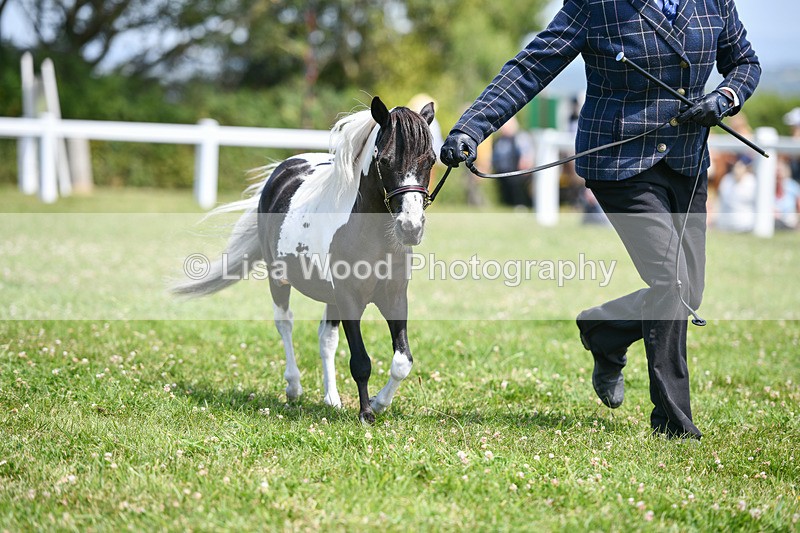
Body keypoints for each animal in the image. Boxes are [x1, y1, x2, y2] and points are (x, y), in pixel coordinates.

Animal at [172, 96, 437, 424]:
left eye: (431, 160)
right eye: (384, 160)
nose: (410, 229)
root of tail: (282, 170)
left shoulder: (394, 297)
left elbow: (402, 361)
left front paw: (378, 403)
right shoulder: (349, 298)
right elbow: (361, 362)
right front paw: (366, 413)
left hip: (331, 297)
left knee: (326, 339)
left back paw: (331, 399)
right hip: (279, 279)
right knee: (285, 323)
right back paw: (294, 387)